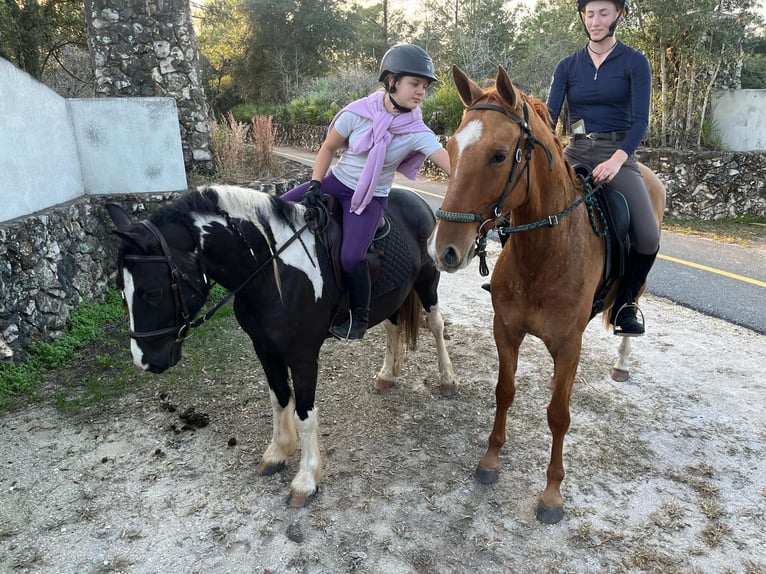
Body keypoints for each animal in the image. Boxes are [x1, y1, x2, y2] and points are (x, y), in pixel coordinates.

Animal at [106, 184, 460, 508]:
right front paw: (277, 452)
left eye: (152, 292)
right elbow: (279, 399)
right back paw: (388, 374)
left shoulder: (303, 357)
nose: (145, 360)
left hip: (427, 282)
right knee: (393, 326)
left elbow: (304, 414)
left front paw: (306, 479)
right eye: (121, 290)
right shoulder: (264, 348)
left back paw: (447, 379)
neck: (274, 272)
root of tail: (417, 200)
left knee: (436, 325)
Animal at [432, 65, 664, 524]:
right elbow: (504, 392)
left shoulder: (569, 345)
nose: (445, 250)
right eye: (451, 146)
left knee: (631, 309)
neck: (544, 254)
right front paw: (490, 460)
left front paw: (552, 494)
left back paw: (622, 361)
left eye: (499, 155)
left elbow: (559, 415)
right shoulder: (505, 330)